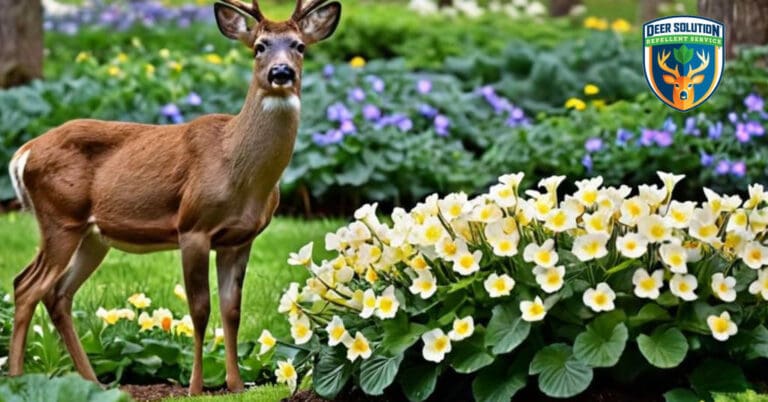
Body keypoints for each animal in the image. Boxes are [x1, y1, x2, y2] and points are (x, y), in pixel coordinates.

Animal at [6, 0, 340, 395]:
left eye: (299, 46)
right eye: (259, 46)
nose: (281, 72)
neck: (237, 169)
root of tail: (22, 153)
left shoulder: (240, 239)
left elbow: (232, 309)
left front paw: (236, 385)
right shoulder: (192, 226)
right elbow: (200, 309)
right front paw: (195, 387)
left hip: (91, 235)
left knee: (56, 293)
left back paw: (95, 384)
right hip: (60, 217)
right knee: (27, 286)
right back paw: (16, 379)